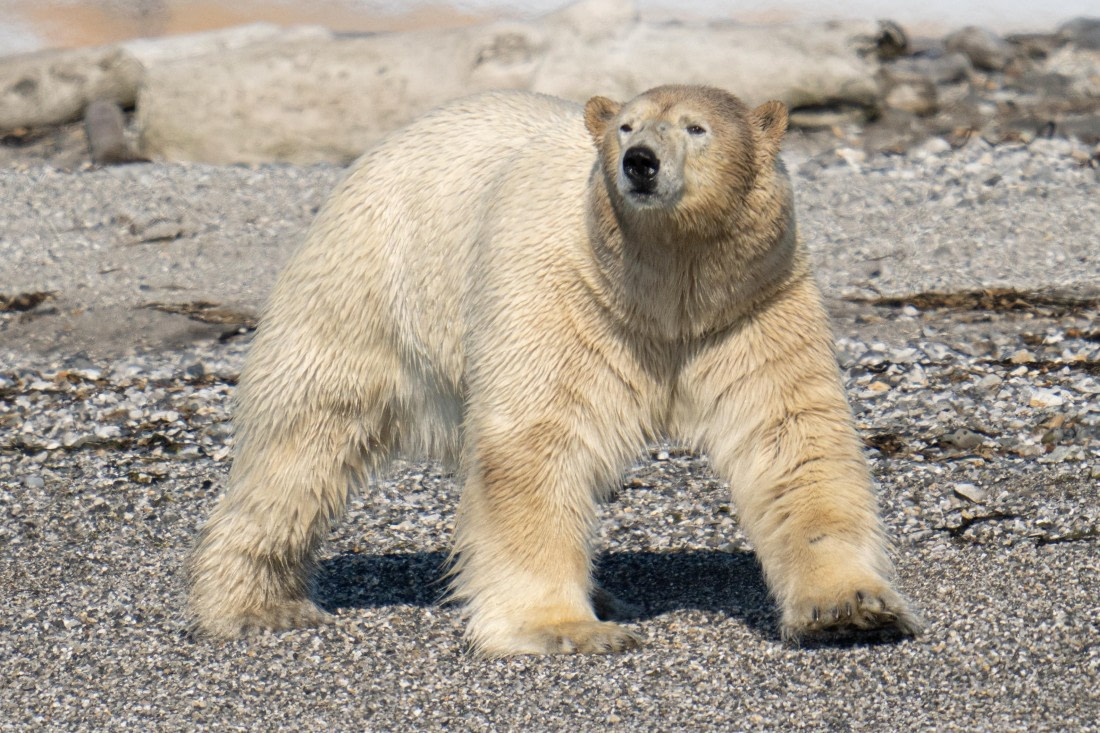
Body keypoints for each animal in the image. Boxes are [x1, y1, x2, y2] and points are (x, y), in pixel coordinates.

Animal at [188, 85, 923, 656]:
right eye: (627, 125)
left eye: (696, 127)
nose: (640, 162)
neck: (665, 288)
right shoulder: (561, 293)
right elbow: (538, 441)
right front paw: (566, 628)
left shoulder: (751, 304)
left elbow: (792, 438)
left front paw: (852, 609)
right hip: (364, 289)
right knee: (301, 445)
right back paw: (257, 604)